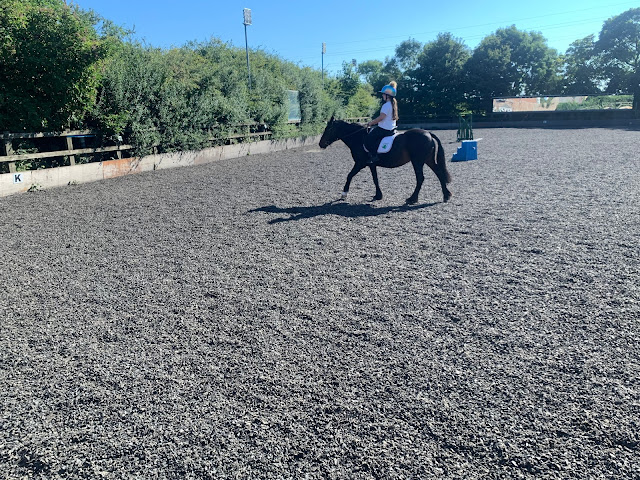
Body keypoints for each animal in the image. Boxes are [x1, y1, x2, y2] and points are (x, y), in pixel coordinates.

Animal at [318, 118, 450, 206]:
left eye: (328, 129)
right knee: (439, 174)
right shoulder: (371, 164)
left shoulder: (360, 163)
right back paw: (446, 196)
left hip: (417, 161)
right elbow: (375, 179)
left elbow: (349, 175)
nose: (320, 144)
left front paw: (344, 193)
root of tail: (428, 133)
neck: (358, 137)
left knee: (420, 178)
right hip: (428, 160)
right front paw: (378, 195)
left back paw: (412, 199)